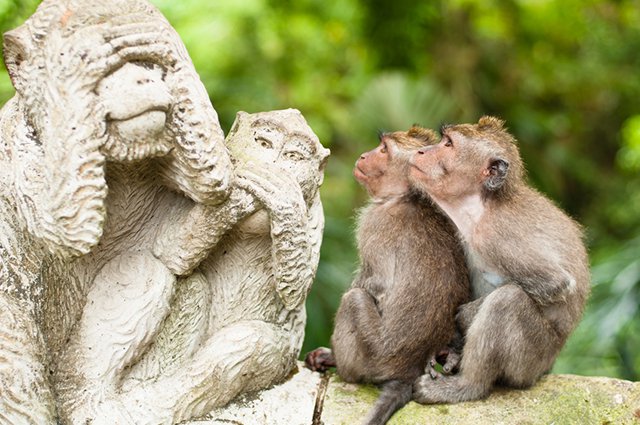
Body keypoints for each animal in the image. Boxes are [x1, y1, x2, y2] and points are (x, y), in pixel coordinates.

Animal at [304, 126, 470, 424]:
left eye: (383, 150)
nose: (363, 155)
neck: (405, 196)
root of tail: (407, 371)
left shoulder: (374, 222)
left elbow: (374, 283)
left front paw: (329, 353)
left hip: (374, 355)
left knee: (354, 299)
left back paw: (341, 365)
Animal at [410, 116, 592, 404]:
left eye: (448, 144)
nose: (421, 151)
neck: (480, 206)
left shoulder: (496, 235)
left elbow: (556, 283)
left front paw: (463, 317)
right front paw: (451, 347)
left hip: (531, 361)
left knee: (507, 301)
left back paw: (466, 386)